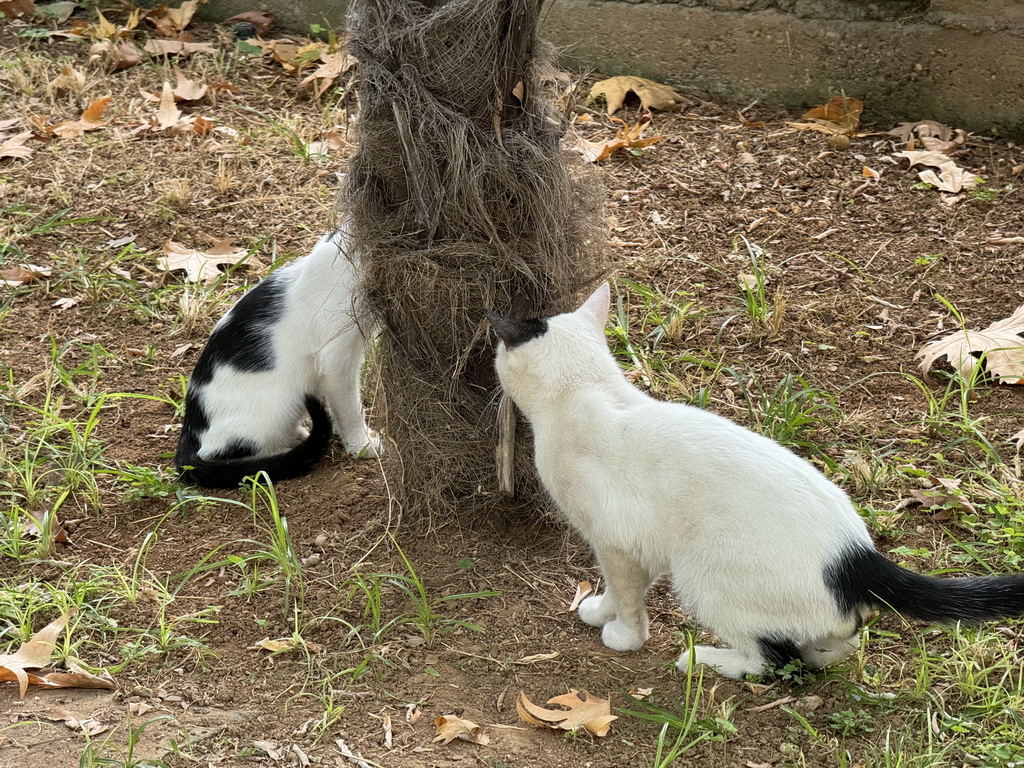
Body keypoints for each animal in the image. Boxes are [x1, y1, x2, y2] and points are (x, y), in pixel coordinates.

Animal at [176, 231, 380, 489]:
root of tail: (189, 427)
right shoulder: (336, 357)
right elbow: (349, 406)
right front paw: (361, 444)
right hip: (277, 406)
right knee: (229, 454)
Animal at [483, 282, 1024, 679]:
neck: (588, 390)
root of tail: (858, 558)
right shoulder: (641, 544)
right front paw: (603, 612)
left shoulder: (614, 541)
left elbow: (627, 596)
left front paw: (618, 631)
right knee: (839, 642)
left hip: (702, 577)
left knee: (773, 660)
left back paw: (704, 659)